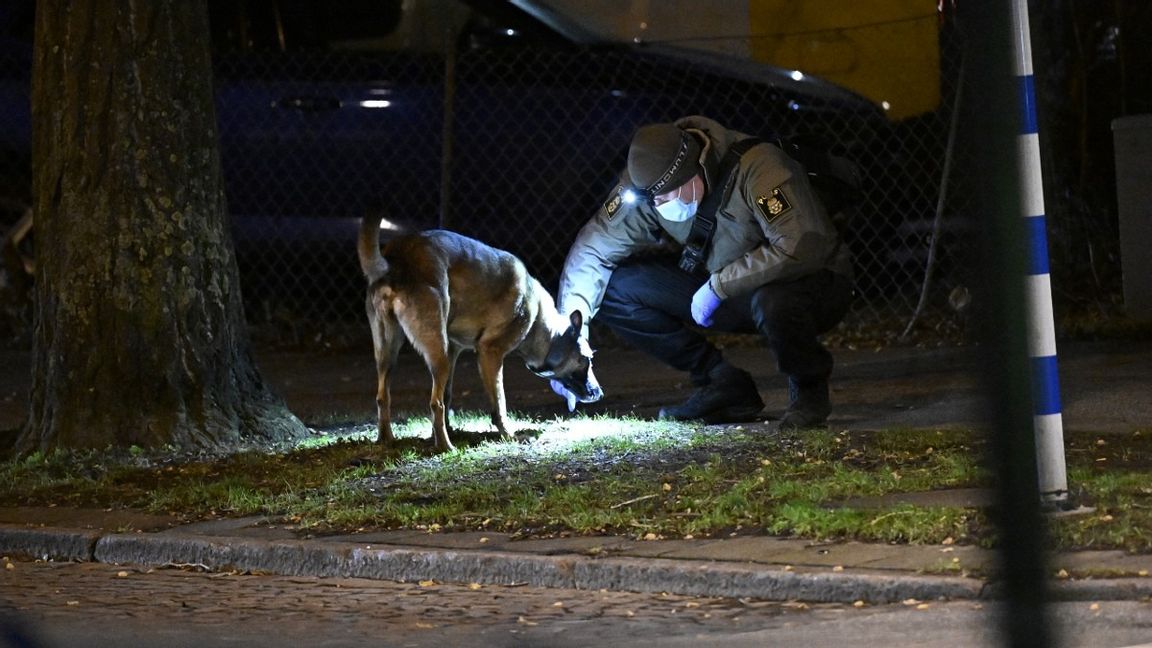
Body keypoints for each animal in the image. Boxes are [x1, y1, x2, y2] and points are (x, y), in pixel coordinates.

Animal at [357, 214, 603, 451]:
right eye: (587, 360)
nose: (599, 393)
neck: (539, 321)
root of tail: (396, 258)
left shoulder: (454, 351)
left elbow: (448, 394)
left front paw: (445, 429)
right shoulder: (490, 355)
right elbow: (499, 403)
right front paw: (508, 435)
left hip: (391, 353)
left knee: (384, 397)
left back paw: (387, 439)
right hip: (438, 353)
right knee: (435, 403)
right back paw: (445, 446)